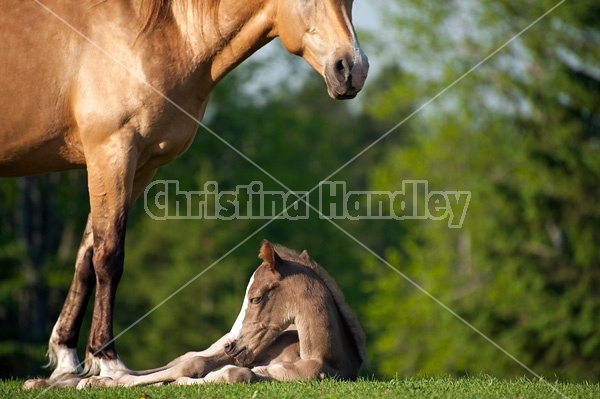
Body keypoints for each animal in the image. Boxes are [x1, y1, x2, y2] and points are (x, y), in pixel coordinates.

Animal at [77, 241, 364, 388]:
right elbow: (192, 365)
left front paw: (180, 383)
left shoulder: (273, 372)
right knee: (187, 358)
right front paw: (111, 380)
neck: (319, 358)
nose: (231, 345)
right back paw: (96, 378)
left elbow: (237, 374)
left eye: (255, 298)